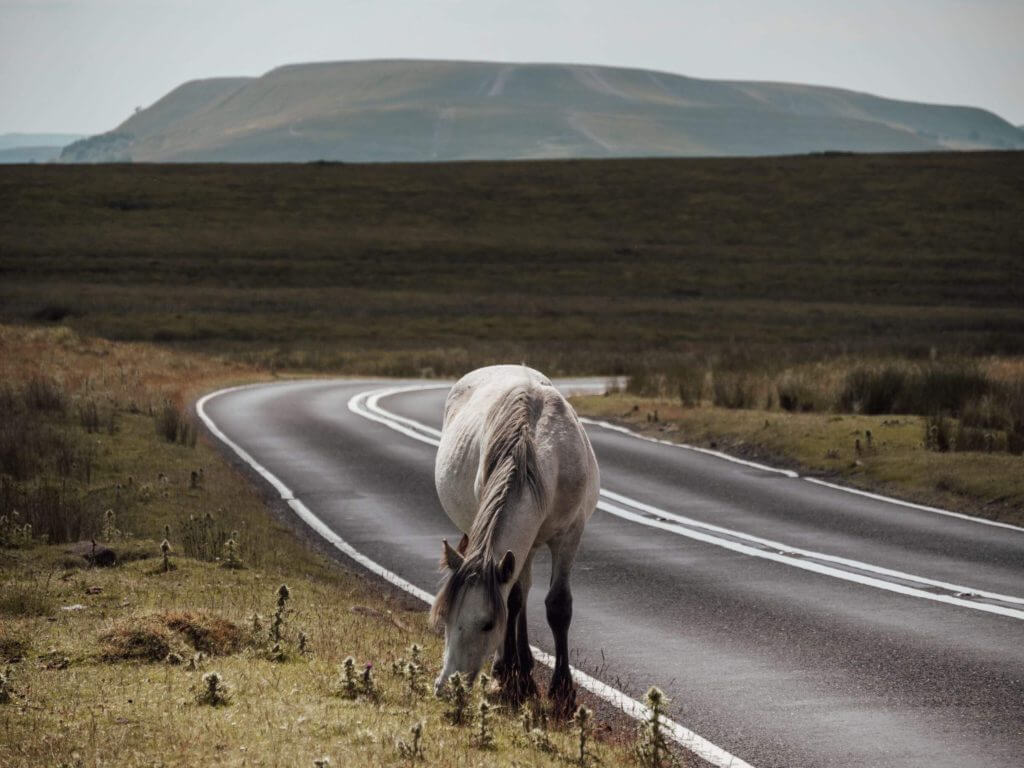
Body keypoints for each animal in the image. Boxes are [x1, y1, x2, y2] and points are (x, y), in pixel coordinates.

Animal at [431, 364, 600, 714]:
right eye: (446, 619)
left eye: (486, 624)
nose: (447, 687)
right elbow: (512, 601)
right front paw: (510, 675)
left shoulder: (570, 535)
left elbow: (558, 605)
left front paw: (562, 690)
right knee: (518, 595)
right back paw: (515, 668)